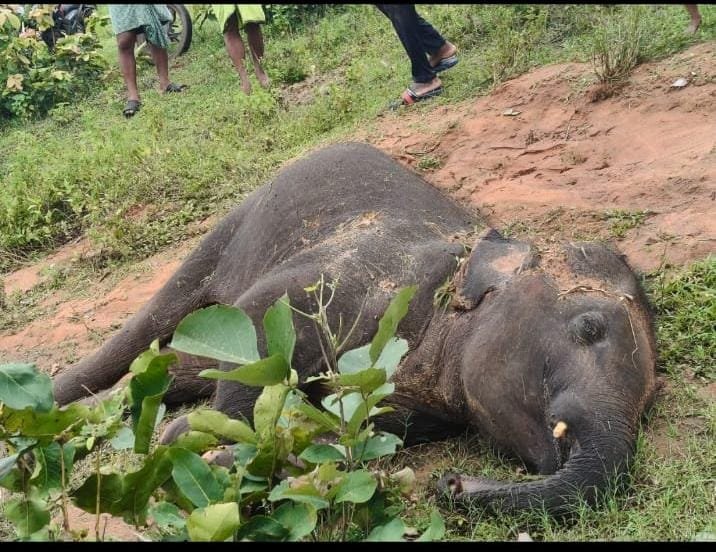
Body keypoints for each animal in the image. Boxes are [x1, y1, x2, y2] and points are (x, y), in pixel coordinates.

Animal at [52, 142, 659, 515]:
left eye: (652, 399)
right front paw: (193, 443)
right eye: (588, 328)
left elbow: (353, 432)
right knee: (157, 326)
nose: (451, 482)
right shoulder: (363, 273)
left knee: (176, 368)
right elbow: (262, 320)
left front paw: (226, 456)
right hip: (232, 226)